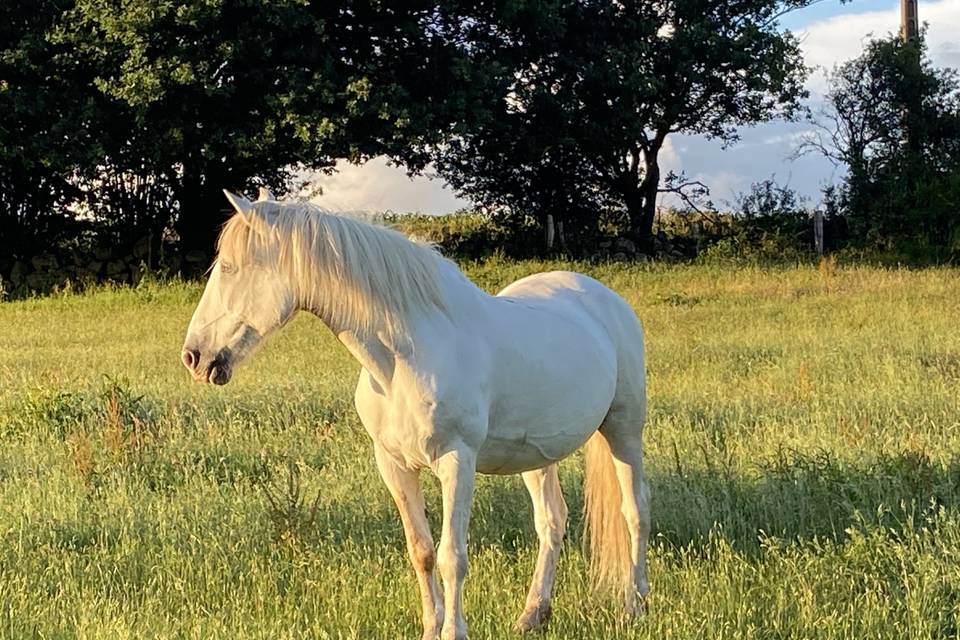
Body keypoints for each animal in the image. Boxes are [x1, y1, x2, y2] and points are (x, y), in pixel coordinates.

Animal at [180, 190, 648, 640]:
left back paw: (635, 606)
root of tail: (604, 299)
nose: (194, 357)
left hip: (624, 430)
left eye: (228, 267)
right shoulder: (394, 464)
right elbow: (421, 552)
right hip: (536, 456)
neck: (403, 356)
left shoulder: (457, 462)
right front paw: (430, 628)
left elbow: (452, 556)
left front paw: (454, 631)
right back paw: (533, 615)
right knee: (551, 521)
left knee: (635, 511)